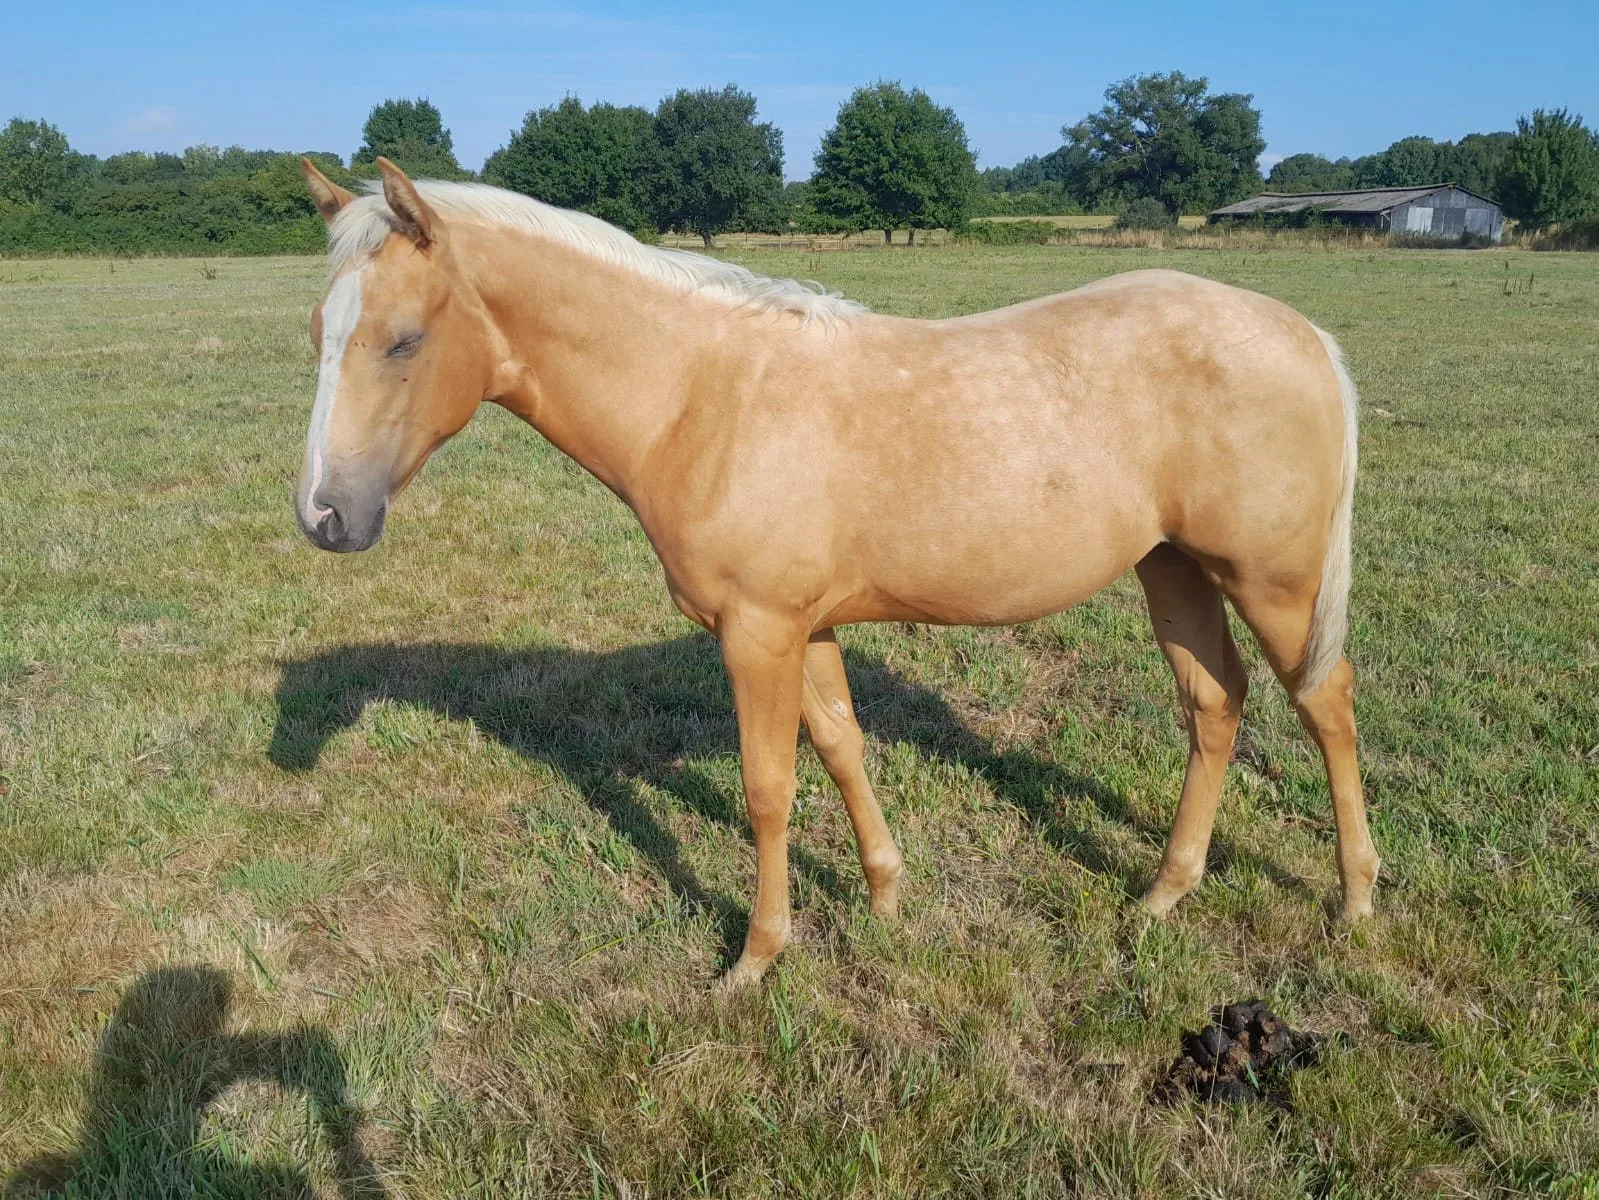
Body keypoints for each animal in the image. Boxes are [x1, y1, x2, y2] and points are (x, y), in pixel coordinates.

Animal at [292, 157, 1379, 985]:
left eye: (404, 340)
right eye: (317, 336)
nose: (325, 517)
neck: (702, 395)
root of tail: (1306, 335)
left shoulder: (757, 633)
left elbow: (768, 788)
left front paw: (756, 958)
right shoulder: (805, 627)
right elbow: (844, 745)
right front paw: (885, 896)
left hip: (1272, 584)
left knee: (1325, 702)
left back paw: (1354, 899)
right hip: (1174, 570)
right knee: (1215, 703)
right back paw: (1161, 894)